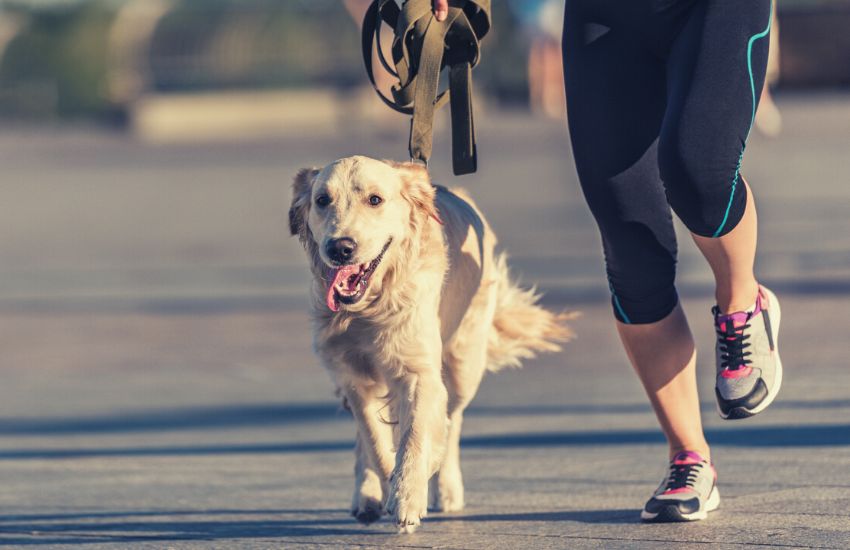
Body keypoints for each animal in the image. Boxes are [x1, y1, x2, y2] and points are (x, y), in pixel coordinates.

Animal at [288, 156, 572, 536]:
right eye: (322, 200)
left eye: (375, 200)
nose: (340, 248)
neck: (369, 307)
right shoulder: (351, 376)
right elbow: (375, 441)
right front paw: (387, 486)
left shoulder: (418, 371)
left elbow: (417, 433)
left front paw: (409, 494)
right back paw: (366, 495)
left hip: (463, 365)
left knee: (453, 420)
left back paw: (445, 486)